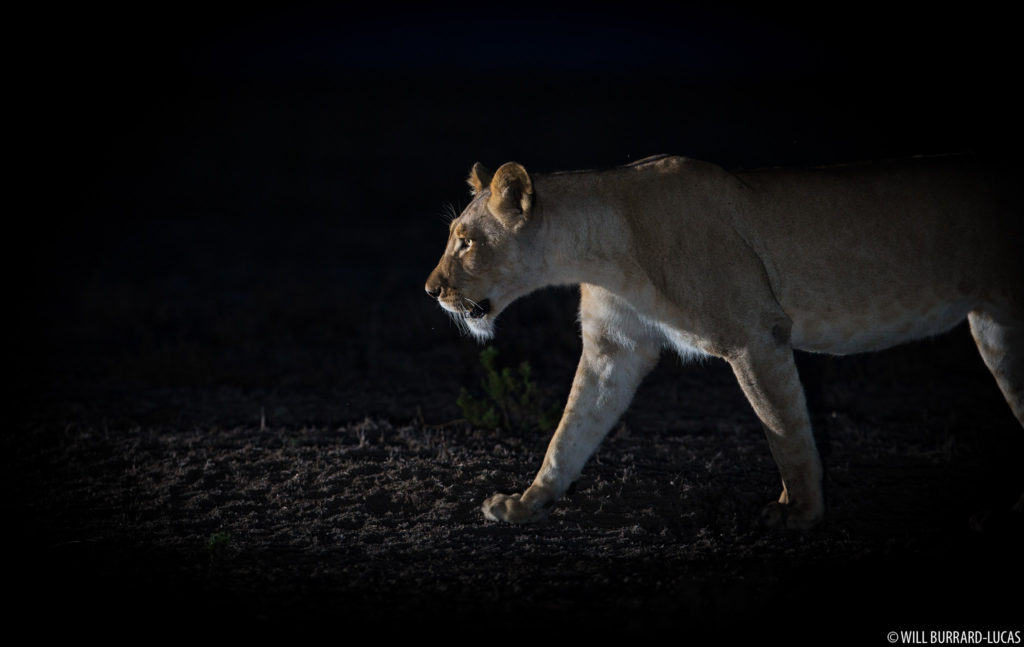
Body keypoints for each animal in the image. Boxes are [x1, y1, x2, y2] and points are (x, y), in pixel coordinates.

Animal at [423, 154, 1024, 528]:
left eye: (466, 241)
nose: (431, 290)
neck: (600, 248)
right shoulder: (614, 349)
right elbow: (569, 434)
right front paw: (527, 503)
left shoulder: (755, 336)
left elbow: (785, 431)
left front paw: (799, 514)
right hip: (996, 328)